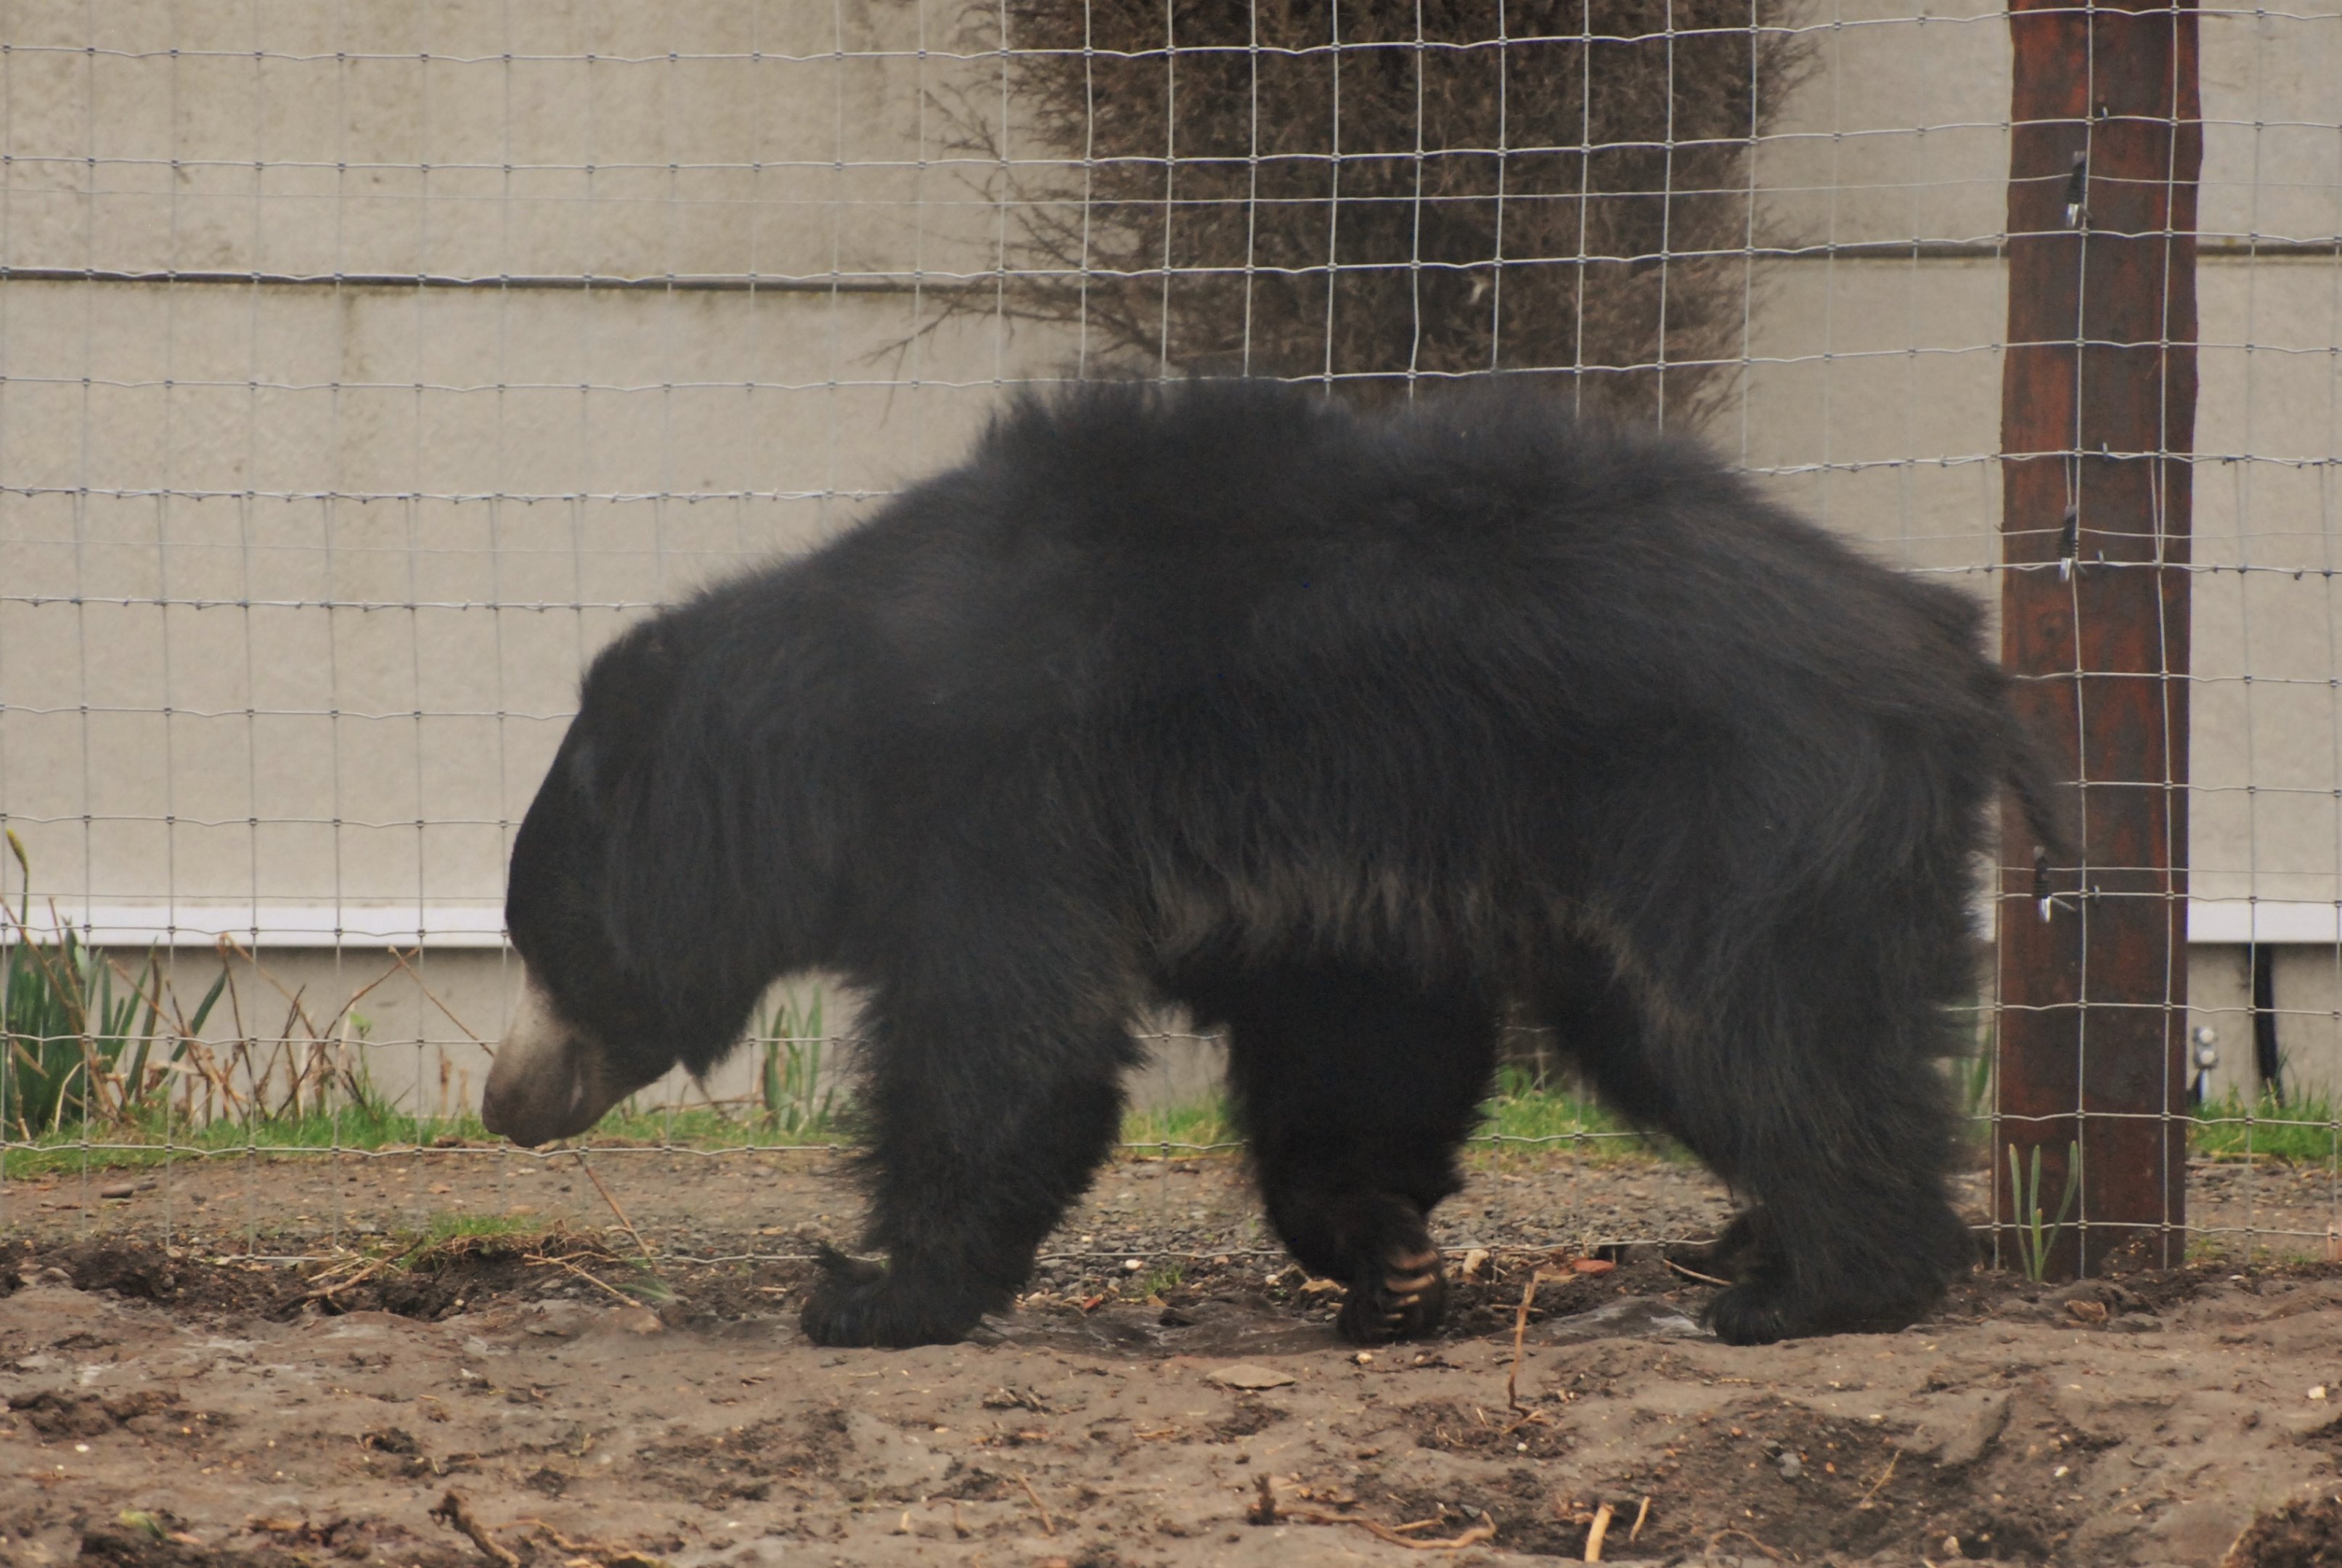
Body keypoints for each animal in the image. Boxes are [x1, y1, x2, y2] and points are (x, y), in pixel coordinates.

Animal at [479, 378, 2061, 1348]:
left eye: (547, 947)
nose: (504, 1105)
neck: (831, 734)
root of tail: (1948, 658)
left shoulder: (1007, 805)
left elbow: (1005, 1044)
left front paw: (873, 1292)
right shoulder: (1335, 883)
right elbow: (1357, 1050)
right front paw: (1387, 1262)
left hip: (1741, 814)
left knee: (1770, 1027)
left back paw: (1813, 1288)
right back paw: (1758, 1248)